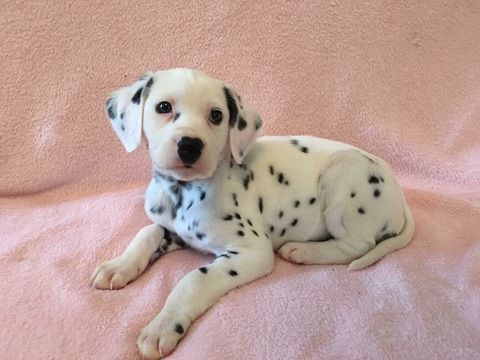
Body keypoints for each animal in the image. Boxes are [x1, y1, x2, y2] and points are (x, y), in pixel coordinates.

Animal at [92, 69, 414, 358]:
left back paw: (304, 251)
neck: (182, 193)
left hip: (344, 175)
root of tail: (398, 193)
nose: (190, 145)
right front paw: (118, 266)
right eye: (163, 107)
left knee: (357, 245)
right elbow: (148, 231)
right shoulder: (175, 230)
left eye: (216, 115)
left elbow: (193, 280)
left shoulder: (252, 251)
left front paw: (163, 325)